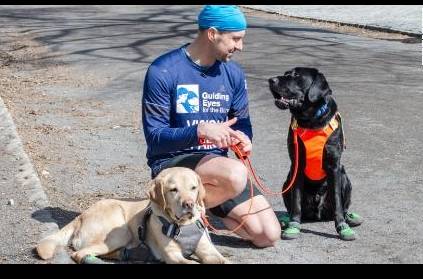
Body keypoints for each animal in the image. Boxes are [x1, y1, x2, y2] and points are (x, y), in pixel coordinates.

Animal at [270, 67, 362, 241]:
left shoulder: (334, 166)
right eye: (286, 74)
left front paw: (341, 226)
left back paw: (349, 218)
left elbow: (337, 201)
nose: (271, 80)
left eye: (296, 75)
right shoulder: (297, 165)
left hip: (345, 177)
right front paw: (294, 225)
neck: (311, 120)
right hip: (286, 181)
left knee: (343, 206)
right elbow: (296, 200)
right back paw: (287, 219)